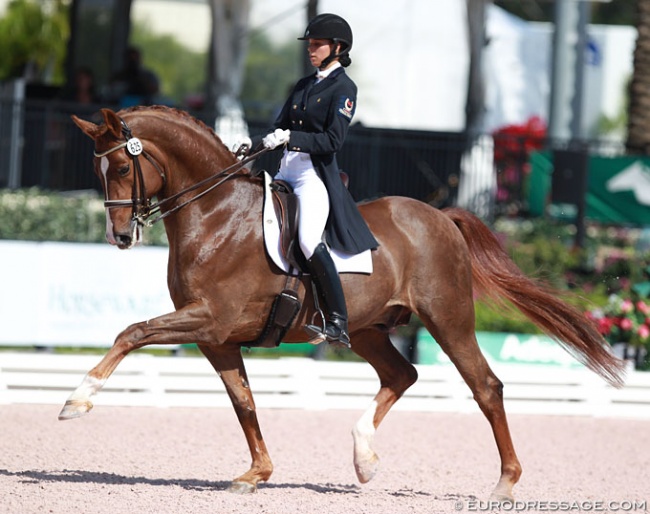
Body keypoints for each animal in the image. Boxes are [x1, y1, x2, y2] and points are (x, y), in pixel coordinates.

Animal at [60, 107, 624, 496]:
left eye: (122, 168)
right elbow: (243, 401)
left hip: (448, 319)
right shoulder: (216, 337)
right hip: (370, 328)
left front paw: (77, 400)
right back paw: (364, 457)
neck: (217, 215)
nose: (119, 237)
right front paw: (256, 473)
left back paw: (504, 484)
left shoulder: (208, 319)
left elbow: (132, 331)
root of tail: (441, 216)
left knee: (485, 387)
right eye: (98, 170)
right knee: (401, 375)